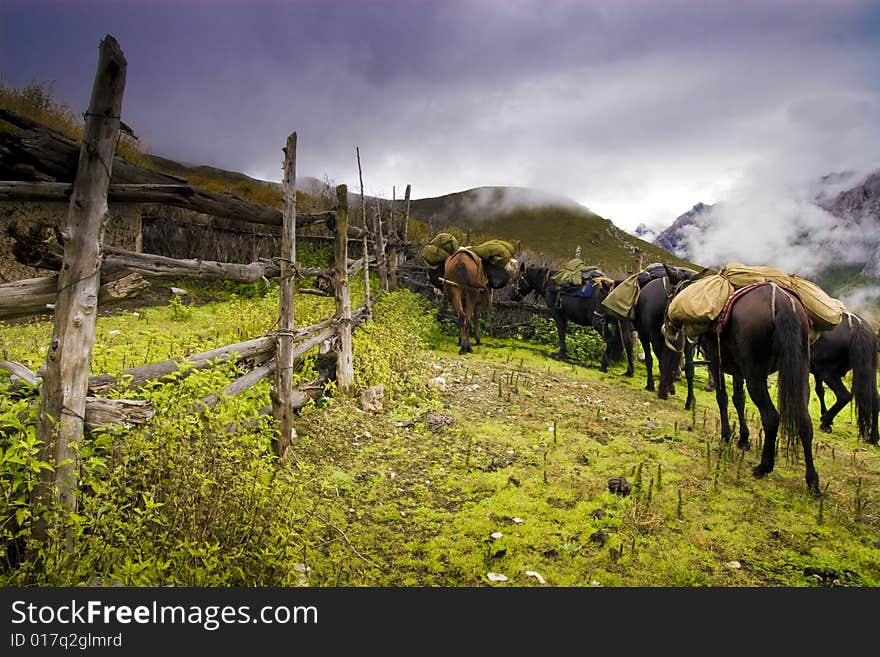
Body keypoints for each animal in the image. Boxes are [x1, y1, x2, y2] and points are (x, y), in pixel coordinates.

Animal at [664, 280, 820, 494]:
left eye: (671, 294)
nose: (666, 328)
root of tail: (783, 302)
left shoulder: (716, 361)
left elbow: (722, 397)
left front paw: (726, 436)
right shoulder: (738, 369)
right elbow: (739, 399)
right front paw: (744, 439)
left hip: (756, 376)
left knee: (771, 417)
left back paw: (764, 466)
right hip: (800, 372)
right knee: (805, 422)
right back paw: (812, 481)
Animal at [812, 310, 880, 444]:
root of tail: (857, 325)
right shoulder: (816, 371)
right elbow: (820, 390)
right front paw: (823, 413)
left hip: (828, 372)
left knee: (844, 396)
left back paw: (825, 424)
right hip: (870, 371)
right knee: (875, 399)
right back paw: (873, 437)